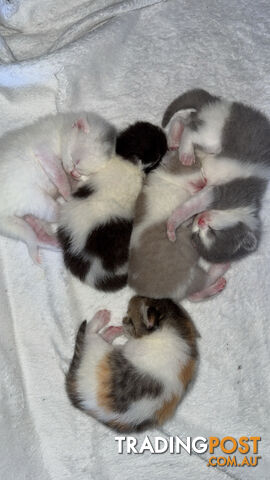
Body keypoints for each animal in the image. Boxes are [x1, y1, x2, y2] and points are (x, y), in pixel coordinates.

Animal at [0, 111, 114, 264]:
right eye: (76, 161)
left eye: (85, 172)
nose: (75, 173)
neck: (59, 130)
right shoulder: (43, 149)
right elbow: (59, 174)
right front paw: (66, 192)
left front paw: (72, 186)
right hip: (35, 199)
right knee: (56, 213)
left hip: (18, 222)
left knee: (34, 237)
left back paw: (54, 241)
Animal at [65, 294, 198, 434]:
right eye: (151, 297)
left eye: (130, 319)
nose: (123, 320)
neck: (174, 327)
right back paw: (112, 330)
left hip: (97, 349)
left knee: (90, 333)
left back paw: (102, 319)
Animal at [127, 150, 229, 302]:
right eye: (199, 168)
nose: (205, 181)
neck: (169, 180)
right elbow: (185, 212)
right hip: (188, 276)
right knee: (204, 281)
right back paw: (220, 268)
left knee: (194, 295)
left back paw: (215, 287)